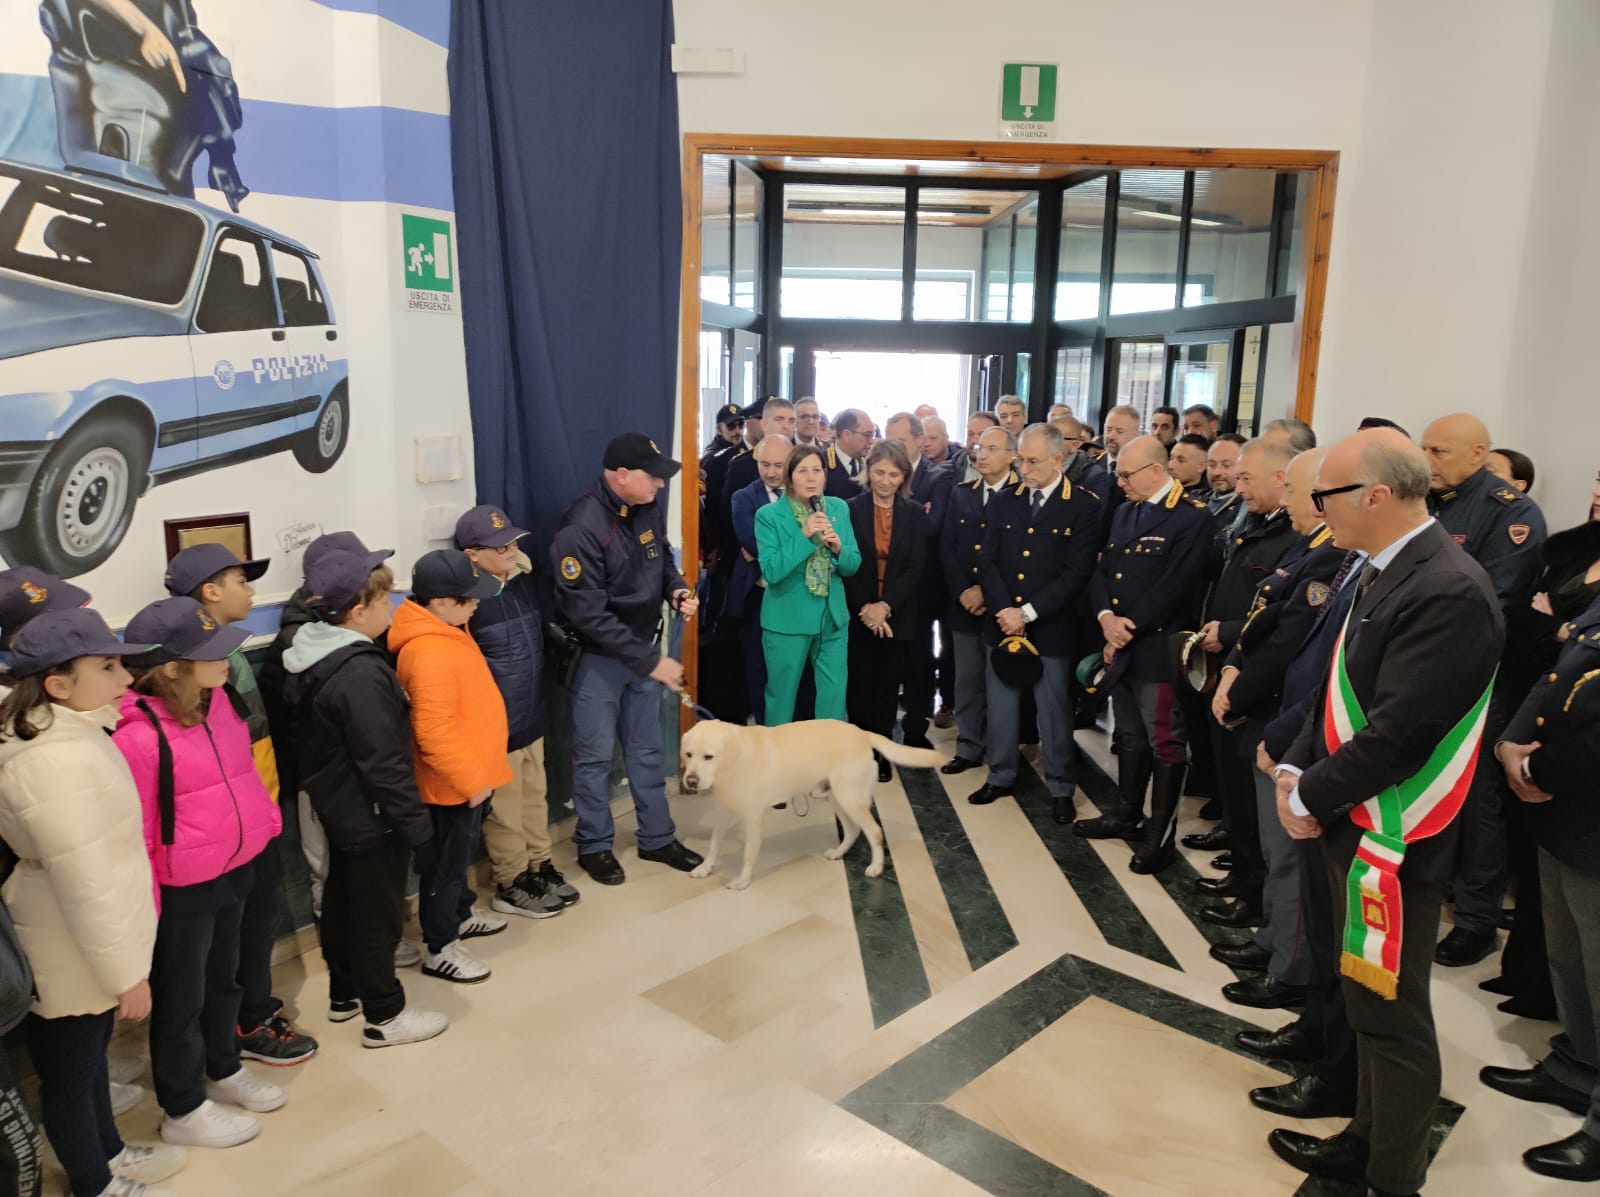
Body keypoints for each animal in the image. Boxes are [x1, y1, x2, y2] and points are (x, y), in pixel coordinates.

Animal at [678, 720, 947, 889]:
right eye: (689, 755)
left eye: (709, 757)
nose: (690, 781)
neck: (733, 764)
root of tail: (862, 732)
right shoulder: (722, 813)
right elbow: (714, 845)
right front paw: (705, 868)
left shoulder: (753, 818)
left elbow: (748, 854)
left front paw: (742, 881)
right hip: (836, 798)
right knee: (853, 830)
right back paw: (838, 853)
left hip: (850, 798)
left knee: (875, 832)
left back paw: (876, 867)